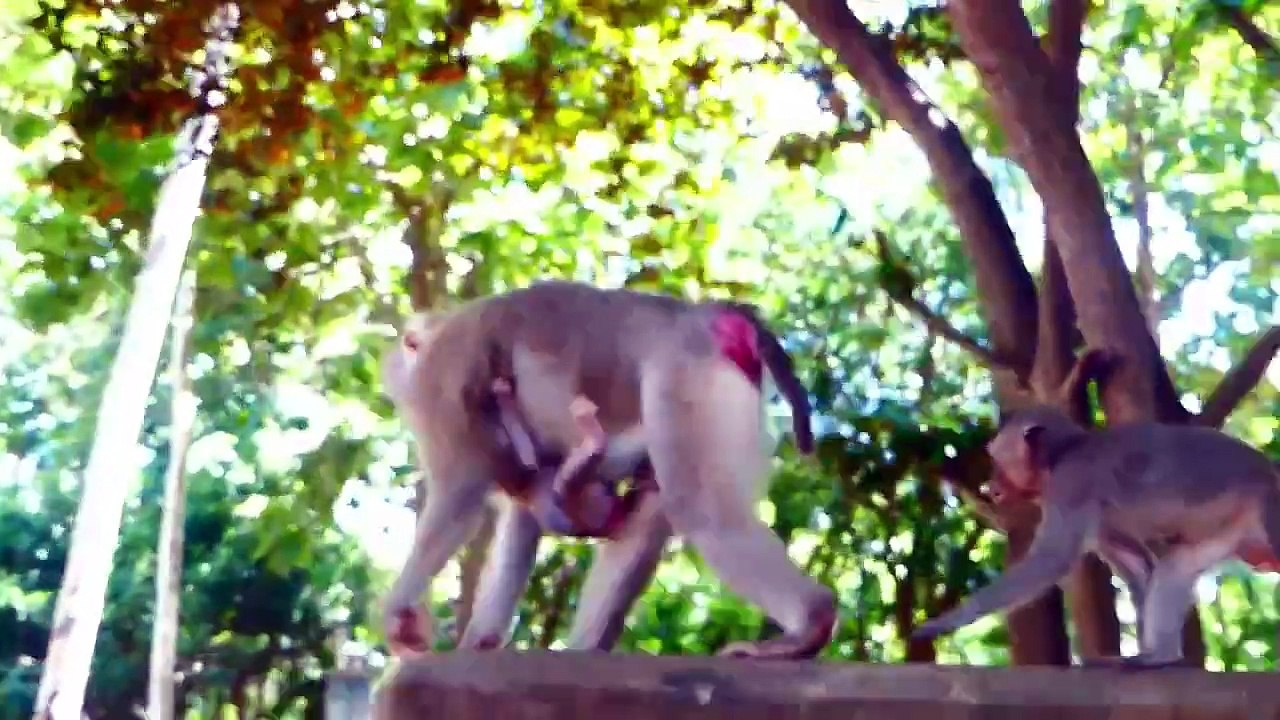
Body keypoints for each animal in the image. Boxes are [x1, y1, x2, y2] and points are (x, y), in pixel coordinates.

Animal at [379, 280, 830, 658]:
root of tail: (707, 315)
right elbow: (522, 524)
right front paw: (480, 641)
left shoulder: (443, 389)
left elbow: (457, 501)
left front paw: (398, 613)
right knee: (654, 502)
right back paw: (584, 650)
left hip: (684, 376)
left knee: (700, 507)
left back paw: (810, 624)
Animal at [912, 349, 1280, 668]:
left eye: (998, 461)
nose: (992, 486)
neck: (1063, 453)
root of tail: (1268, 471)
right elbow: (1140, 566)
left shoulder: (1071, 486)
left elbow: (1051, 561)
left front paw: (947, 621)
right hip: (1229, 528)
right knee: (1174, 568)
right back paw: (1159, 657)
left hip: (1266, 508)